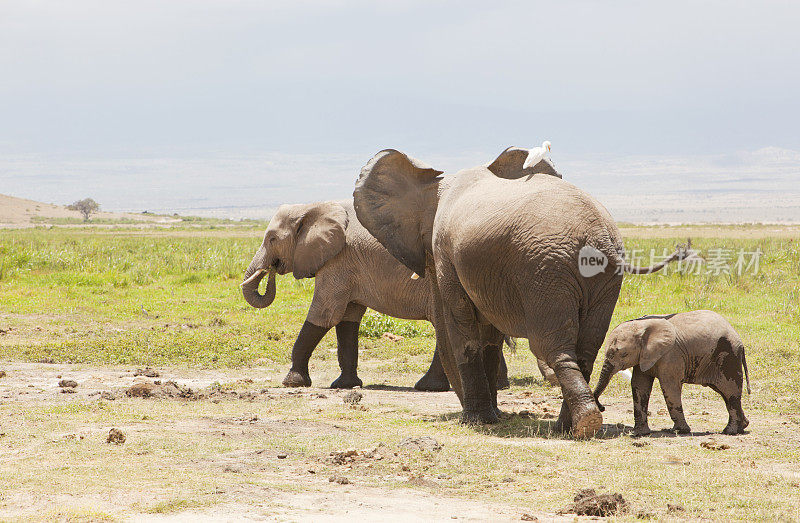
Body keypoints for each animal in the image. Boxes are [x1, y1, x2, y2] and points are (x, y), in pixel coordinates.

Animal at [239, 199, 512, 390]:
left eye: (271, 239)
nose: (270, 269)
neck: (313, 206)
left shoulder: (339, 262)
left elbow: (325, 314)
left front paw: (292, 382)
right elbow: (347, 319)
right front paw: (345, 385)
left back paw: (428, 387)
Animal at [356, 147, 688, 438]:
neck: (439, 185)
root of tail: (597, 237)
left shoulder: (446, 253)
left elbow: (462, 326)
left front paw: (477, 421)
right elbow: (488, 335)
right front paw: (493, 416)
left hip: (545, 271)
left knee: (551, 346)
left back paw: (583, 424)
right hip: (601, 279)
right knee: (585, 349)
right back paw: (569, 426)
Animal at [592, 312, 752, 438]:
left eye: (624, 354)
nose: (602, 407)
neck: (643, 326)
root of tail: (738, 338)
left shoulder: (671, 356)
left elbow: (669, 387)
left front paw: (681, 431)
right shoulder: (644, 356)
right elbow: (639, 386)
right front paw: (640, 434)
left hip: (728, 356)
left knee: (730, 392)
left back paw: (730, 431)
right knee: (725, 394)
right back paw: (743, 426)